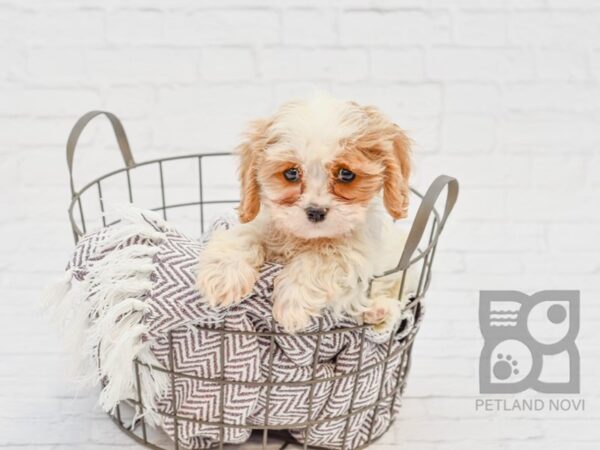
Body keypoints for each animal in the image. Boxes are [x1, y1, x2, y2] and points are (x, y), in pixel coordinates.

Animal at [197, 94, 418, 334]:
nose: (316, 212)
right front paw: (223, 277)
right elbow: (244, 234)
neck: (305, 238)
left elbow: (320, 258)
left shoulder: (355, 250)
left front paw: (292, 304)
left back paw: (378, 312)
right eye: (291, 173)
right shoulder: (265, 222)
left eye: (346, 174)